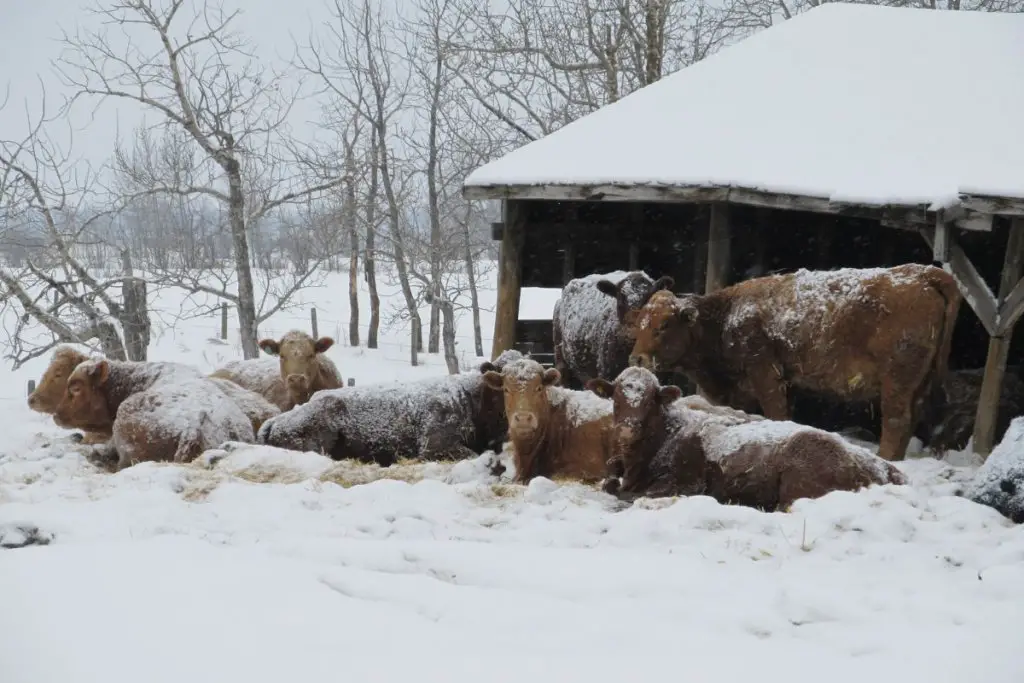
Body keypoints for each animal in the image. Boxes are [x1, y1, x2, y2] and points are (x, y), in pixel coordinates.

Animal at [589, 368, 909, 507]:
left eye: (650, 401)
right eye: (616, 399)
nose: (628, 428)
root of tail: (884, 466)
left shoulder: (685, 483)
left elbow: (626, 492)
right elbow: (610, 477)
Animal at [622, 264, 958, 462]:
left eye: (665, 324)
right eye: (639, 324)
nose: (637, 358)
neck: (726, 316)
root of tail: (923, 273)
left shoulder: (767, 376)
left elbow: (776, 413)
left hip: (896, 384)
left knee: (896, 422)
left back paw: (885, 458)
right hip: (918, 384)